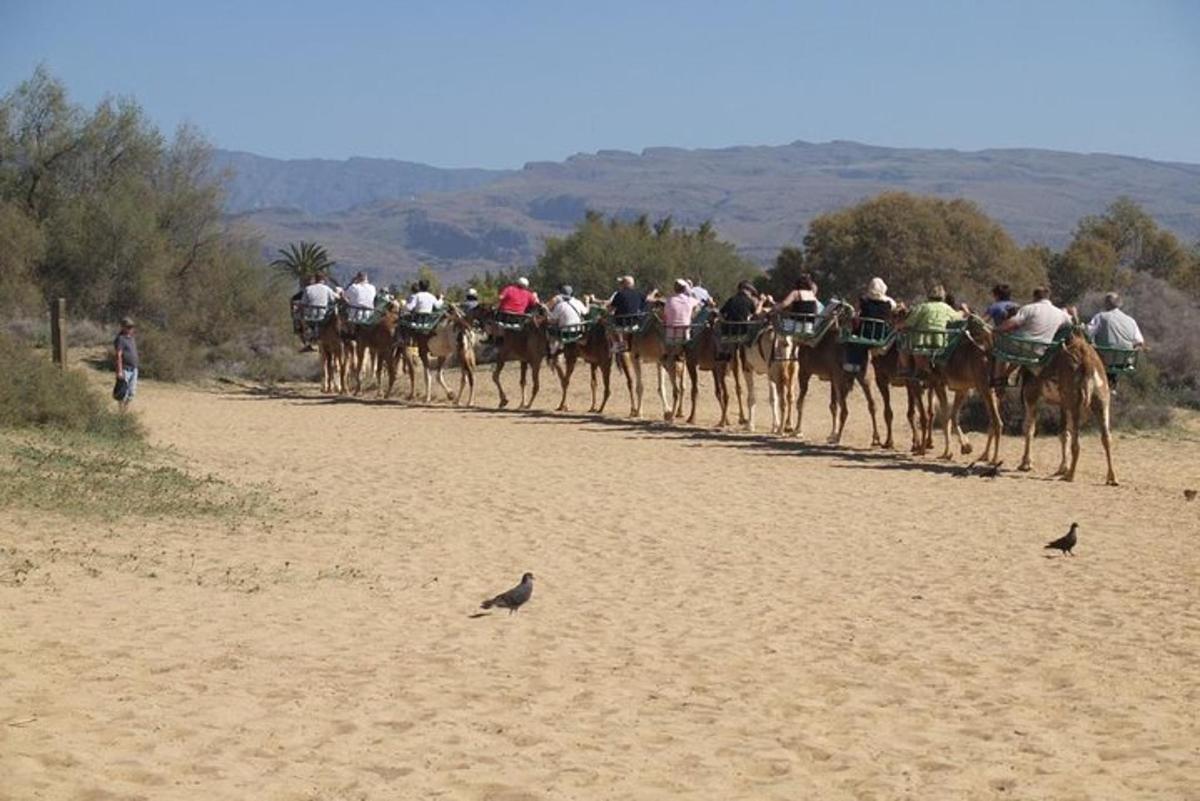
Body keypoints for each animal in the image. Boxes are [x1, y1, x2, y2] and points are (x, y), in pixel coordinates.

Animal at [1012, 328, 1113, 484]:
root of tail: (1088, 363)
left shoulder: (1032, 395)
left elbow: (1029, 428)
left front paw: (1025, 464)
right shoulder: (1062, 403)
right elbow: (1064, 433)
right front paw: (1062, 468)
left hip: (1074, 400)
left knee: (1077, 442)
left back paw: (1070, 476)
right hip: (1101, 398)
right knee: (1106, 437)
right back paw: (1112, 478)